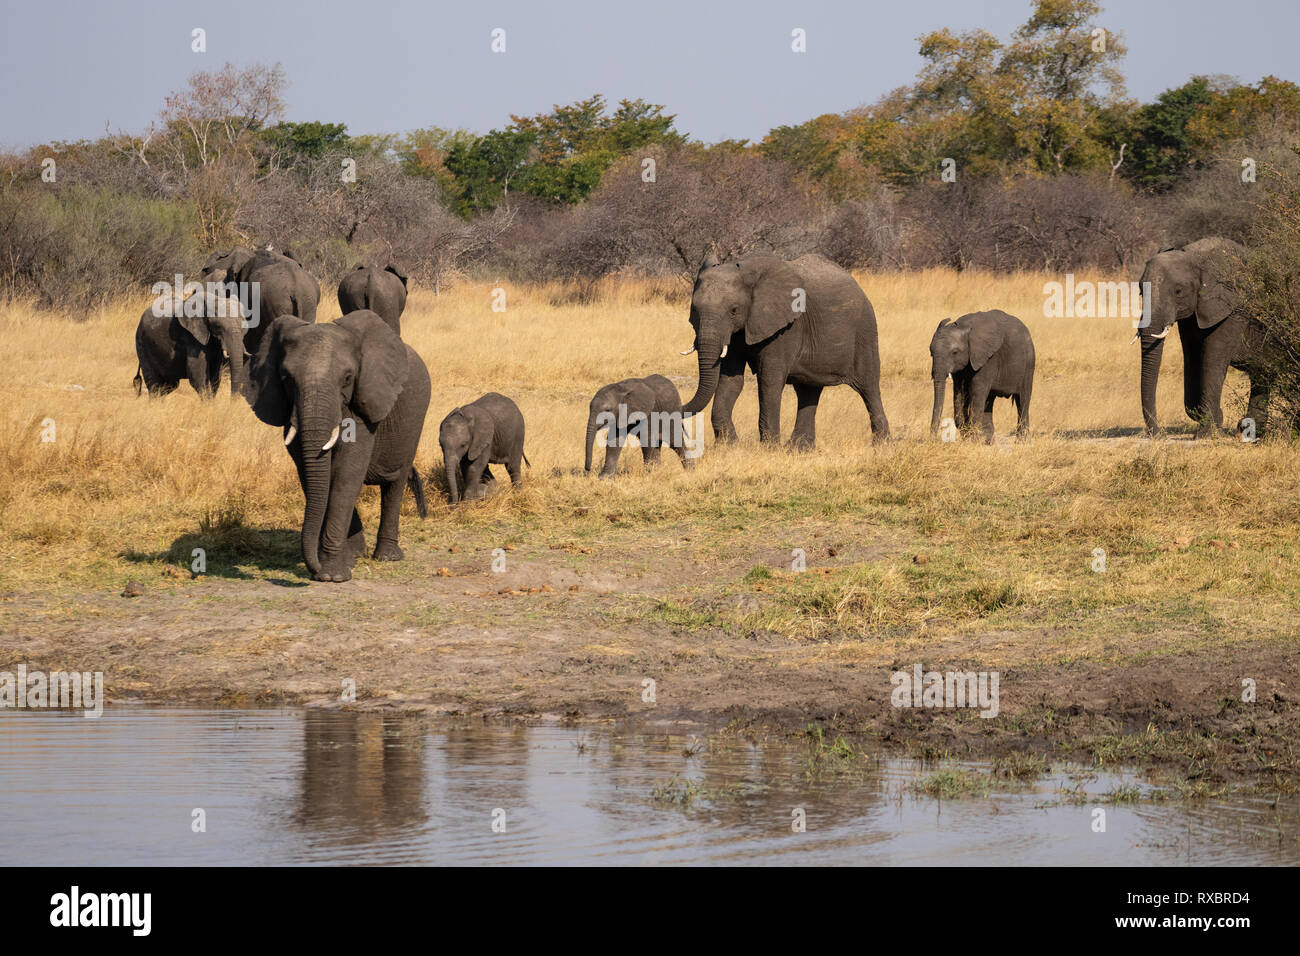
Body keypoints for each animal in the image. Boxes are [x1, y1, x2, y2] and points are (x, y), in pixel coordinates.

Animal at [248, 312, 436, 582]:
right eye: (286, 379)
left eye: (347, 378)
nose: (313, 568)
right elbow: (314, 476)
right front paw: (338, 565)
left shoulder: (363, 407)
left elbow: (346, 475)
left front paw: (332, 576)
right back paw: (357, 554)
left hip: (415, 419)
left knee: (395, 483)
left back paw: (387, 557)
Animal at [681, 254, 883, 447]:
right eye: (694, 309)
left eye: (734, 310)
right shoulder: (737, 331)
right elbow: (731, 380)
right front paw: (728, 446)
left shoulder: (786, 327)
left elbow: (769, 380)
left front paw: (769, 448)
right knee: (808, 391)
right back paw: (798, 448)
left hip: (865, 331)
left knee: (869, 387)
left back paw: (881, 444)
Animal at [925, 310, 1034, 444]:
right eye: (931, 353)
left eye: (955, 352)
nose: (933, 440)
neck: (964, 326)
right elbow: (959, 393)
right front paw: (969, 438)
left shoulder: (988, 358)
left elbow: (977, 393)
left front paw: (972, 441)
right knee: (989, 401)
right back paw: (988, 442)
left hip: (1029, 364)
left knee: (1023, 400)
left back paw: (1021, 442)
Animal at [1138, 235, 1268, 437]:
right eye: (1140, 289)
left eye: (1178, 291)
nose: (1158, 434)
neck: (1194, 255)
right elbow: (1192, 355)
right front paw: (1214, 420)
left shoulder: (1231, 307)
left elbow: (1212, 358)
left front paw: (1207, 432)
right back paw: (1248, 429)